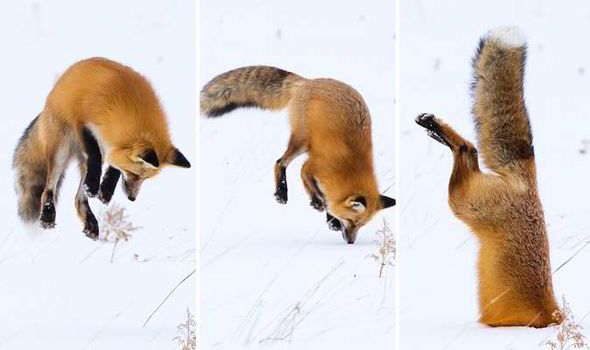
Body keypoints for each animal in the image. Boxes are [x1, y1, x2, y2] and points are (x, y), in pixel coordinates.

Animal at [12, 57, 191, 241]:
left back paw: (90, 220)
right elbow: (95, 155)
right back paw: (48, 214)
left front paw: (106, 190)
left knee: (78, 199)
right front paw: (93, 184)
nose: (132, 198)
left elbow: (115, 167)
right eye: (134, 174)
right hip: (60, 150)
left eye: (145, 179)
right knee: (48, 189)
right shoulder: (84, 123)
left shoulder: (112, 144)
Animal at [201, 65, 396, 243]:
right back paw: (281, 193)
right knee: (280, 162)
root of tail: (309, 81)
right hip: (300, 142)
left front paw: (330, 218)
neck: (350, 164)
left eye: (361, 225)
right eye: (350, 220)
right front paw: (320, 206)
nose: (351, 242)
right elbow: (313, 186)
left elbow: (327, 198)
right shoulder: (311, 166)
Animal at [416, 27, 564, 328]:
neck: (548, 318)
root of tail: (527, 180)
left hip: (465, 203)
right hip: (461, 203)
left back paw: (435, 128)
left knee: (470, 149)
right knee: (467, 149)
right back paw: (436, 127)